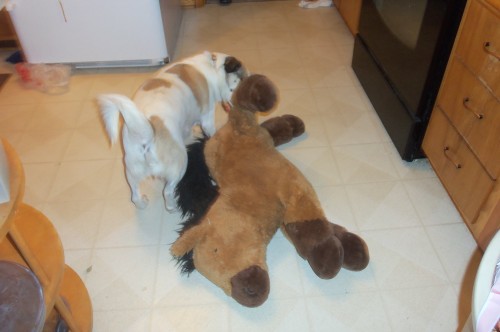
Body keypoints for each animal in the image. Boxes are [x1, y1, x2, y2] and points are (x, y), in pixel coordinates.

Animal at [96, 53, 248, 211]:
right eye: (242, 82)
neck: (212, 65)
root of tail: (148, 135)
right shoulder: (207, 118)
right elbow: (211, 133)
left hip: (131, 170)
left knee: (135, 195)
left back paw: (142, 203)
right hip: (180, 164)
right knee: (167, 191)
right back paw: (172, 206)